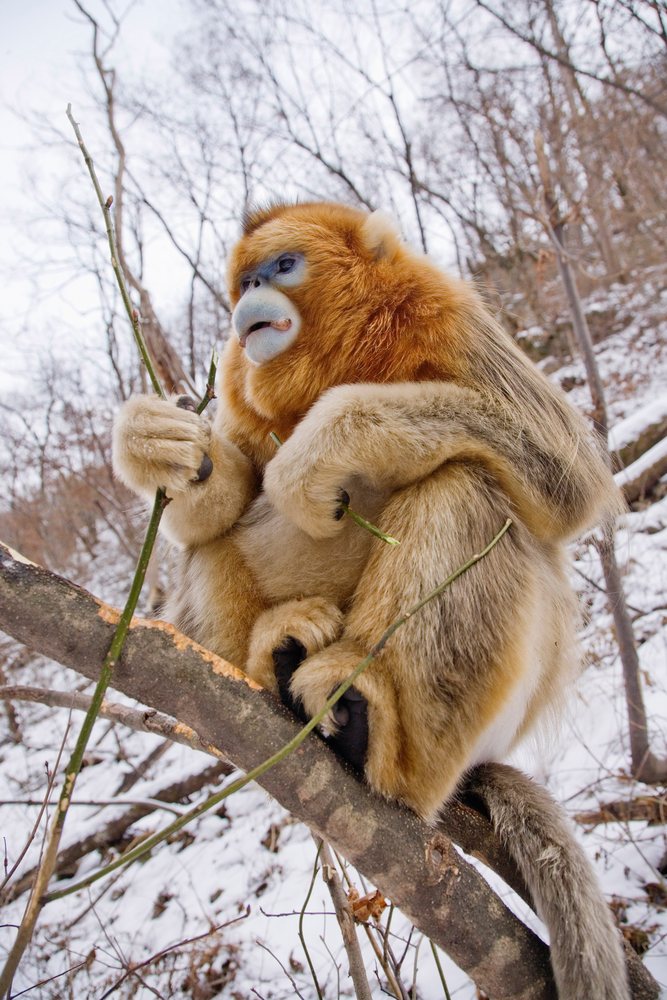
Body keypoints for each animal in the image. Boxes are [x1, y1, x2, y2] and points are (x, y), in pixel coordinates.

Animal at [113, 201, 630, 999]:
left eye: (282, 267)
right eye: (245, 281)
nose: (248, 300)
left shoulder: (451, 320)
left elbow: (565, 475)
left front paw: (326, 442)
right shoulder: (239, 374)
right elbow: (220, 502)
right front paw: (157, 443)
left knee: (469, 486)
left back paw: (372, 726)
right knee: (212, 544)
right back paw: (273, 655)